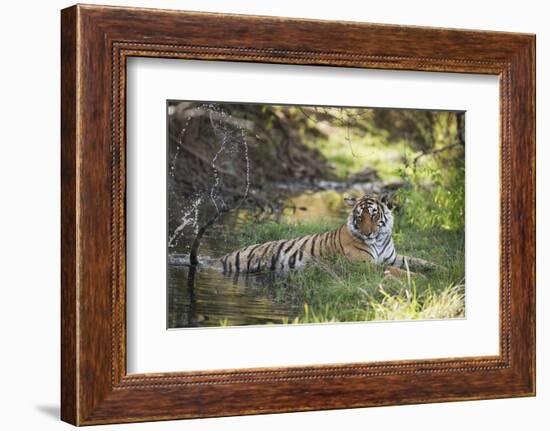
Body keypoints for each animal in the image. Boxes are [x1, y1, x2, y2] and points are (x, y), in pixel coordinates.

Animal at [220, 194, 440, 276]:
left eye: (374, 214)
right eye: (359, 216)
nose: (367, 232)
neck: (378, 240)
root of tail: (222, 258)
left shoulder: (392, 257)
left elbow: (415, 260)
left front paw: (441, 269)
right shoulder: (363, 265)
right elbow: (396, 270)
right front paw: (420, 278)